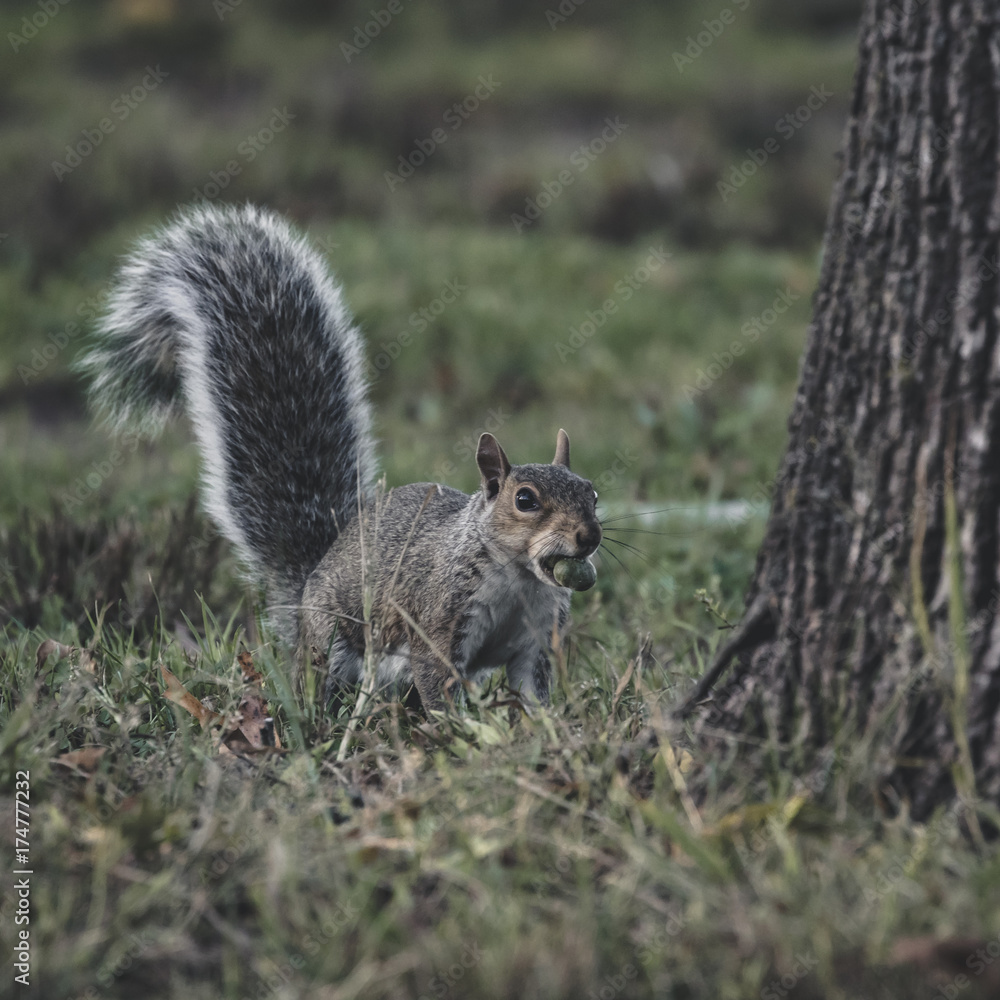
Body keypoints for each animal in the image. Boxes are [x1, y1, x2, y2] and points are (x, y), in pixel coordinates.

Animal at [77, 203, 603, 712]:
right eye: (525, 500)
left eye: (593, 494)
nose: (589, 536)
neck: (518, 580)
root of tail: (308, 584)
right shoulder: (437, 624)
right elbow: (437, 687)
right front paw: (457, 733)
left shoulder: (536, 642)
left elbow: (534, 696)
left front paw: (546, 731)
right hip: (331, 643)